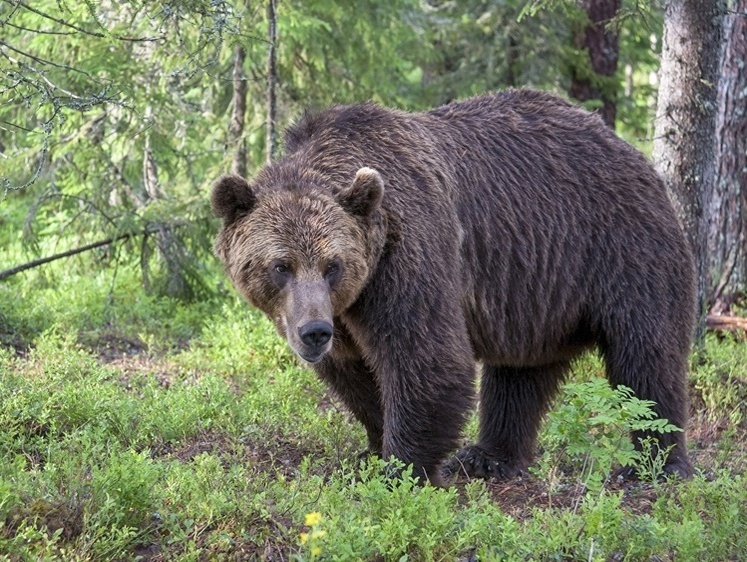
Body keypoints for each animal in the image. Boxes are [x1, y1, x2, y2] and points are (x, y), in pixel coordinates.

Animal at [210, 89, 696, 484]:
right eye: (281, 266)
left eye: (333, 265)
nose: (314, 333)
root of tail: (629, 148)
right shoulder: (347, 309)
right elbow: (354, 371)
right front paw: (372, 448)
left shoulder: (408, 254)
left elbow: (427, 356)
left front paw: (401, 469)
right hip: (535, 291)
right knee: (520, 374)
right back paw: (488, 457)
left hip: (623, 247)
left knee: (646, 356)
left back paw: (656, 464)